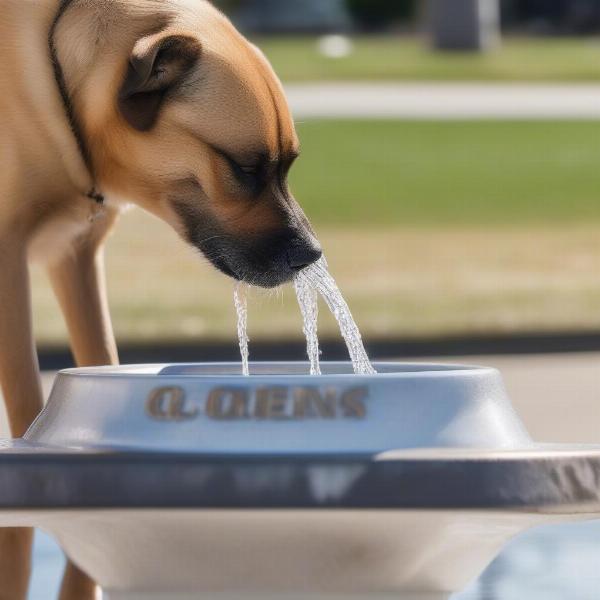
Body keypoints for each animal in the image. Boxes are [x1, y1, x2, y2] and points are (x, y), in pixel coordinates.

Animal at [0, 1, 322, 596]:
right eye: (245, 168)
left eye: (288, 165)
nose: (314, 254)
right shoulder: (8, 264)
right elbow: (30, 411)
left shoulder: (75, 256)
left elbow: (99, 368)